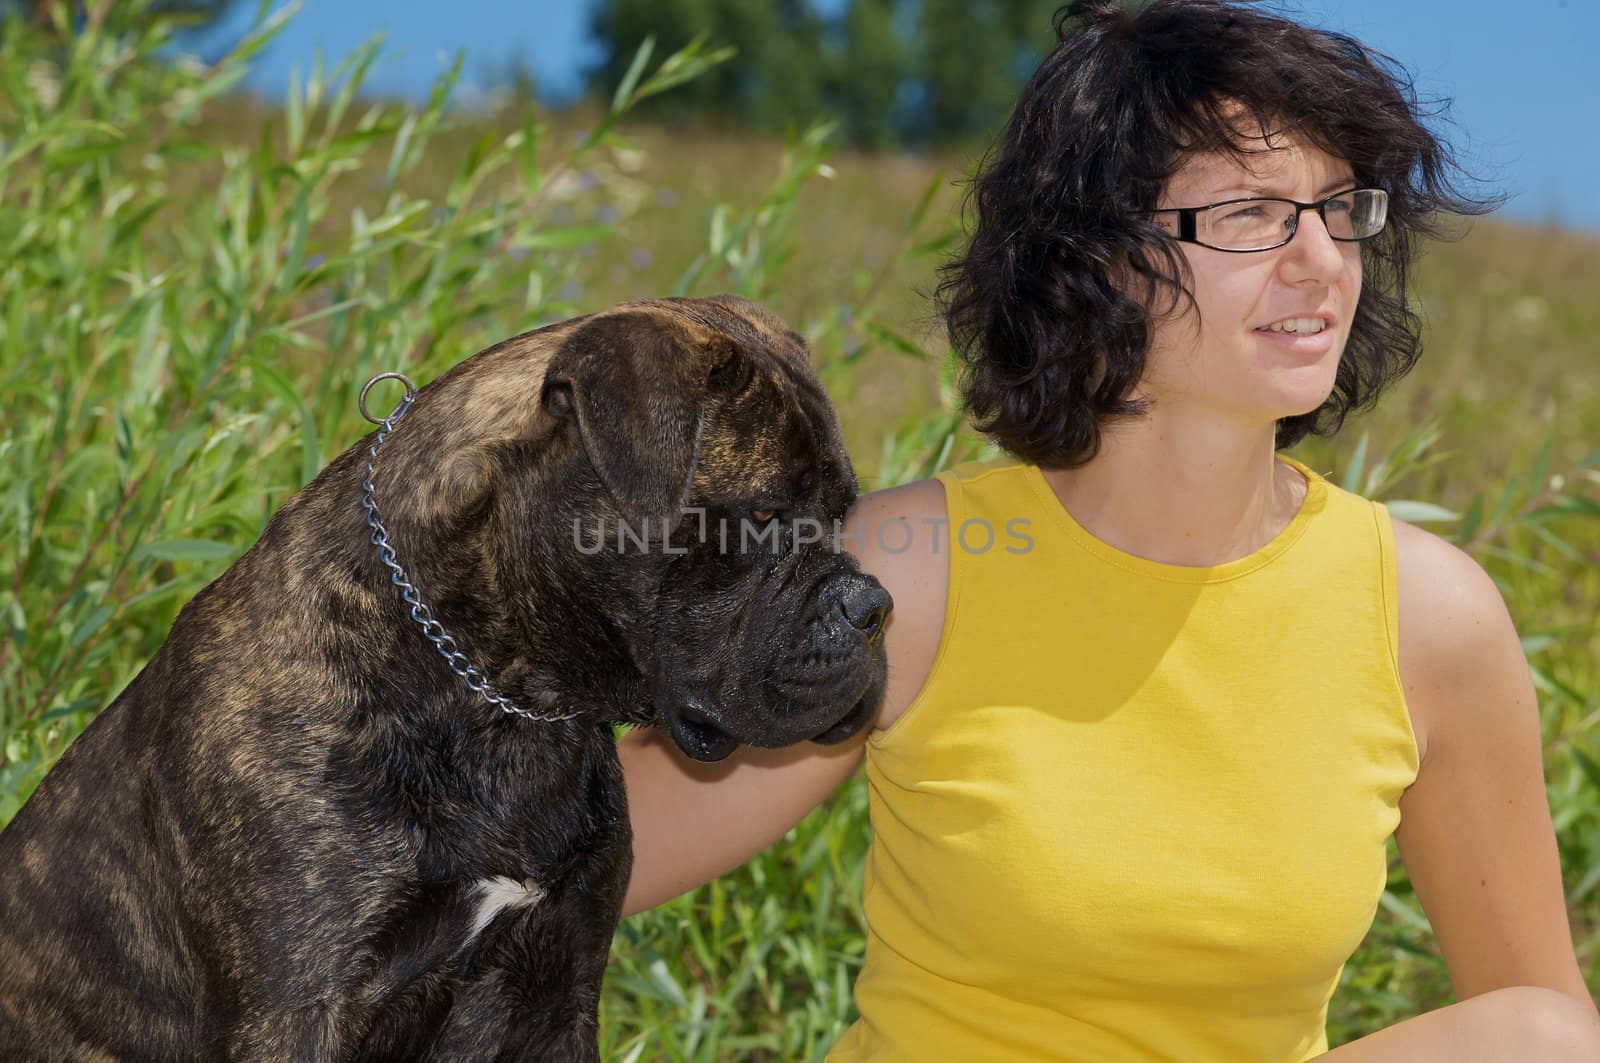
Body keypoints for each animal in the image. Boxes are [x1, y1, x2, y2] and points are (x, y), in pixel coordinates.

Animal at [0, 294, 889, 1063]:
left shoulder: (555, 984)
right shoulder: (297, 1009)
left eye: (843, 511)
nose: (873, 605)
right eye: (764, 515)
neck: (496, 698)